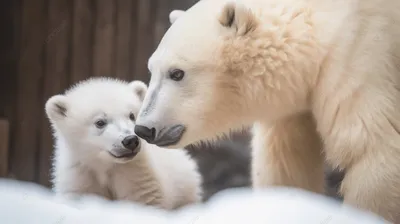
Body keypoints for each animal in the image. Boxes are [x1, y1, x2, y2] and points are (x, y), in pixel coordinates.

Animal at [45, 77, 202, 210]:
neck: (104, 166)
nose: (130, 140)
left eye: (132, 115)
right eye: (100, 122)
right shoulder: (80, 177)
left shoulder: (134, 174)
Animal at [134, 0, 400, 220]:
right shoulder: (289, 101)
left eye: (177, 73)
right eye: (151, 69)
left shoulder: (361, 53)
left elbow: (373, 149)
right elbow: (285, 159)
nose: (144, 128)